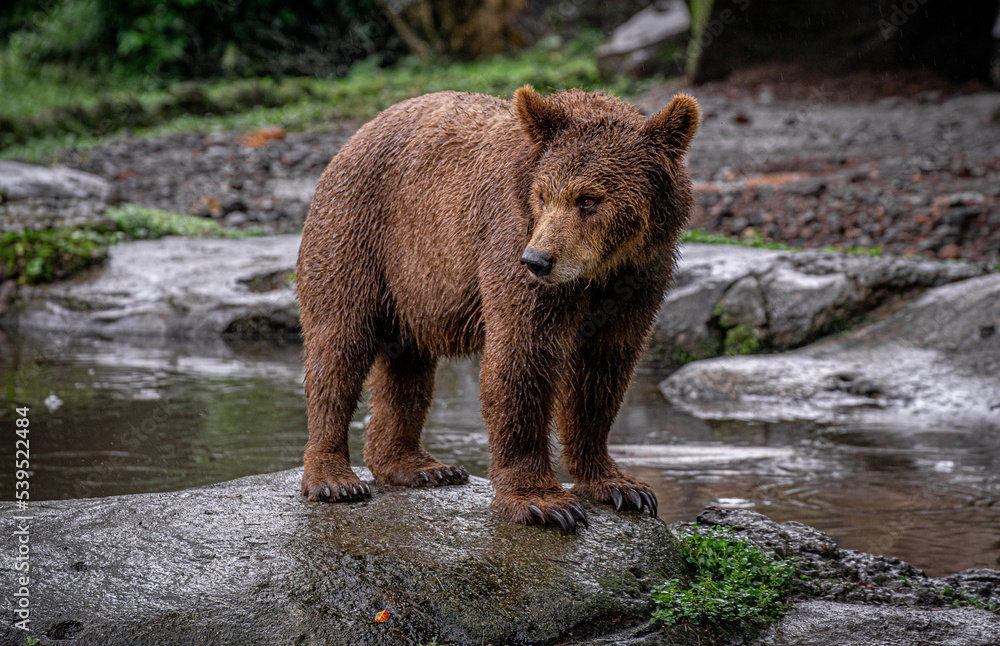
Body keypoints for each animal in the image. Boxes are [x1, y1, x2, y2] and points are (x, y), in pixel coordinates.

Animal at [296, 85, 700, 531]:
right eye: (542, 194)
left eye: (588, 199)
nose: (539, 260)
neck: (598, 271)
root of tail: (356, 136)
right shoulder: (511, 246)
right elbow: (521, 359)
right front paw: (543, 502)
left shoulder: (640, 276)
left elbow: (602, 372)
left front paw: (620, 485)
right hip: (359, 234)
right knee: (339, 347)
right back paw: (334, 478)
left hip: (413, 285)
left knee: (407, 366)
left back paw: (419, 465)